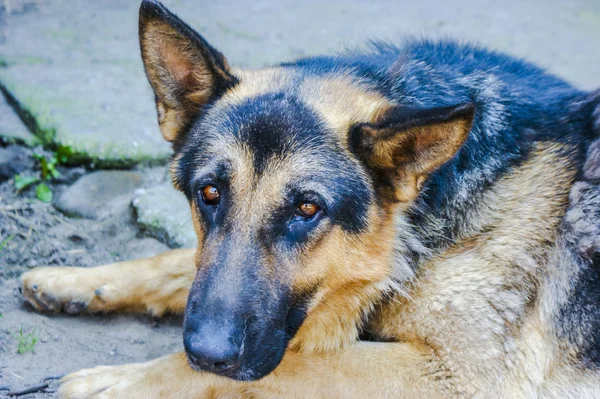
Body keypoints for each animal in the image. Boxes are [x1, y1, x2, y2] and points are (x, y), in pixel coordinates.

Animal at [17, 1, 600, 398]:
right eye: (210, 193)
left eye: (306, 209)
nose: (208, 351)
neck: (427, 212)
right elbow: (177, 261)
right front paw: (75, 280)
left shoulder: (456, 374)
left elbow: (295, 363)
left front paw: (119, 382)